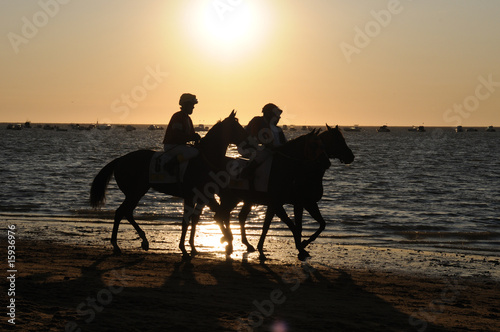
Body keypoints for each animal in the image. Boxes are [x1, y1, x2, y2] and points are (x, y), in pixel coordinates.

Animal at [89, 111, 248, 256]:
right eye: (237, 127)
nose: (248, 142)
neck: (205, 159)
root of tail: (120, 159)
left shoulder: (204, 196)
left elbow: (204, 217)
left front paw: (197, 245)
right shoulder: (191, 196)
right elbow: (188, 220)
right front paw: (185, 247)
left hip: (137, 192)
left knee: (126, 212)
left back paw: (143, 241)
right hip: (135, 192)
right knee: (121, 212)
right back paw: (117, 244)